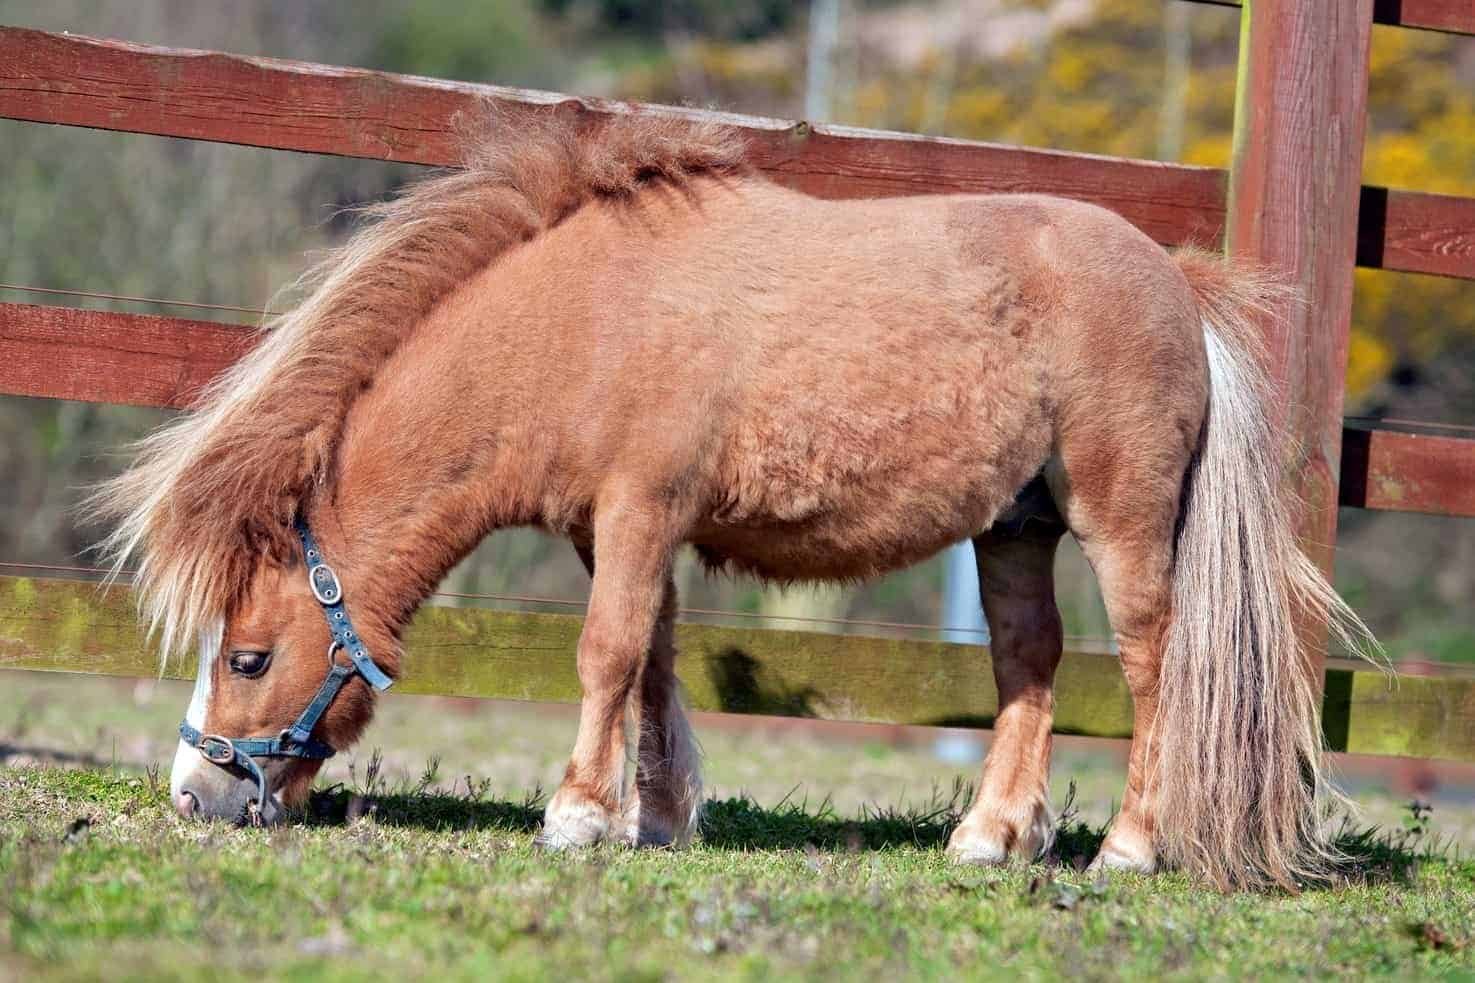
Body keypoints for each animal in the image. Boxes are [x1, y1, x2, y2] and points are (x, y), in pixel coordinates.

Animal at [92, 107, 1371, 890]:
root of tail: (1176, 280)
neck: (580, 320)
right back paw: (989, 834)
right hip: (1013, 530)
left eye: (249, 656)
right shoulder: (620, 530)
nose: (195, 793)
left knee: (1153, 663)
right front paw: (650, 816)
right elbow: (652, 661)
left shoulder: (638, 512)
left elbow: (606, 655)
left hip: (1119, 519)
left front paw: (575, 813)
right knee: (1028, 662)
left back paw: (1129, 845)